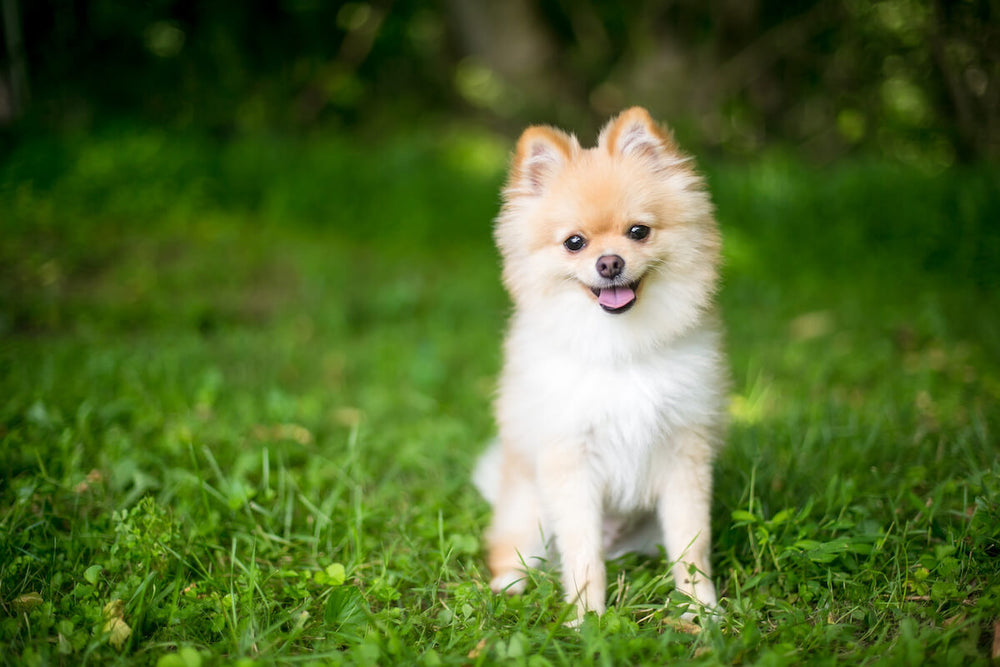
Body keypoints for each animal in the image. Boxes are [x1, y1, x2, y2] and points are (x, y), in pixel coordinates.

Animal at [476, 107, 728, 624]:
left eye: (639, 231)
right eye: (574, 242)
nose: (609, 263)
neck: (619, 346)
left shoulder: (684, 454)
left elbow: (692, 546)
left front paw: (701, 611)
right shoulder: (570, 460)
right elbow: (582, 552)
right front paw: (585, 619)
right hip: (529, 510)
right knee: (511, 549)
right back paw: (509, 585)